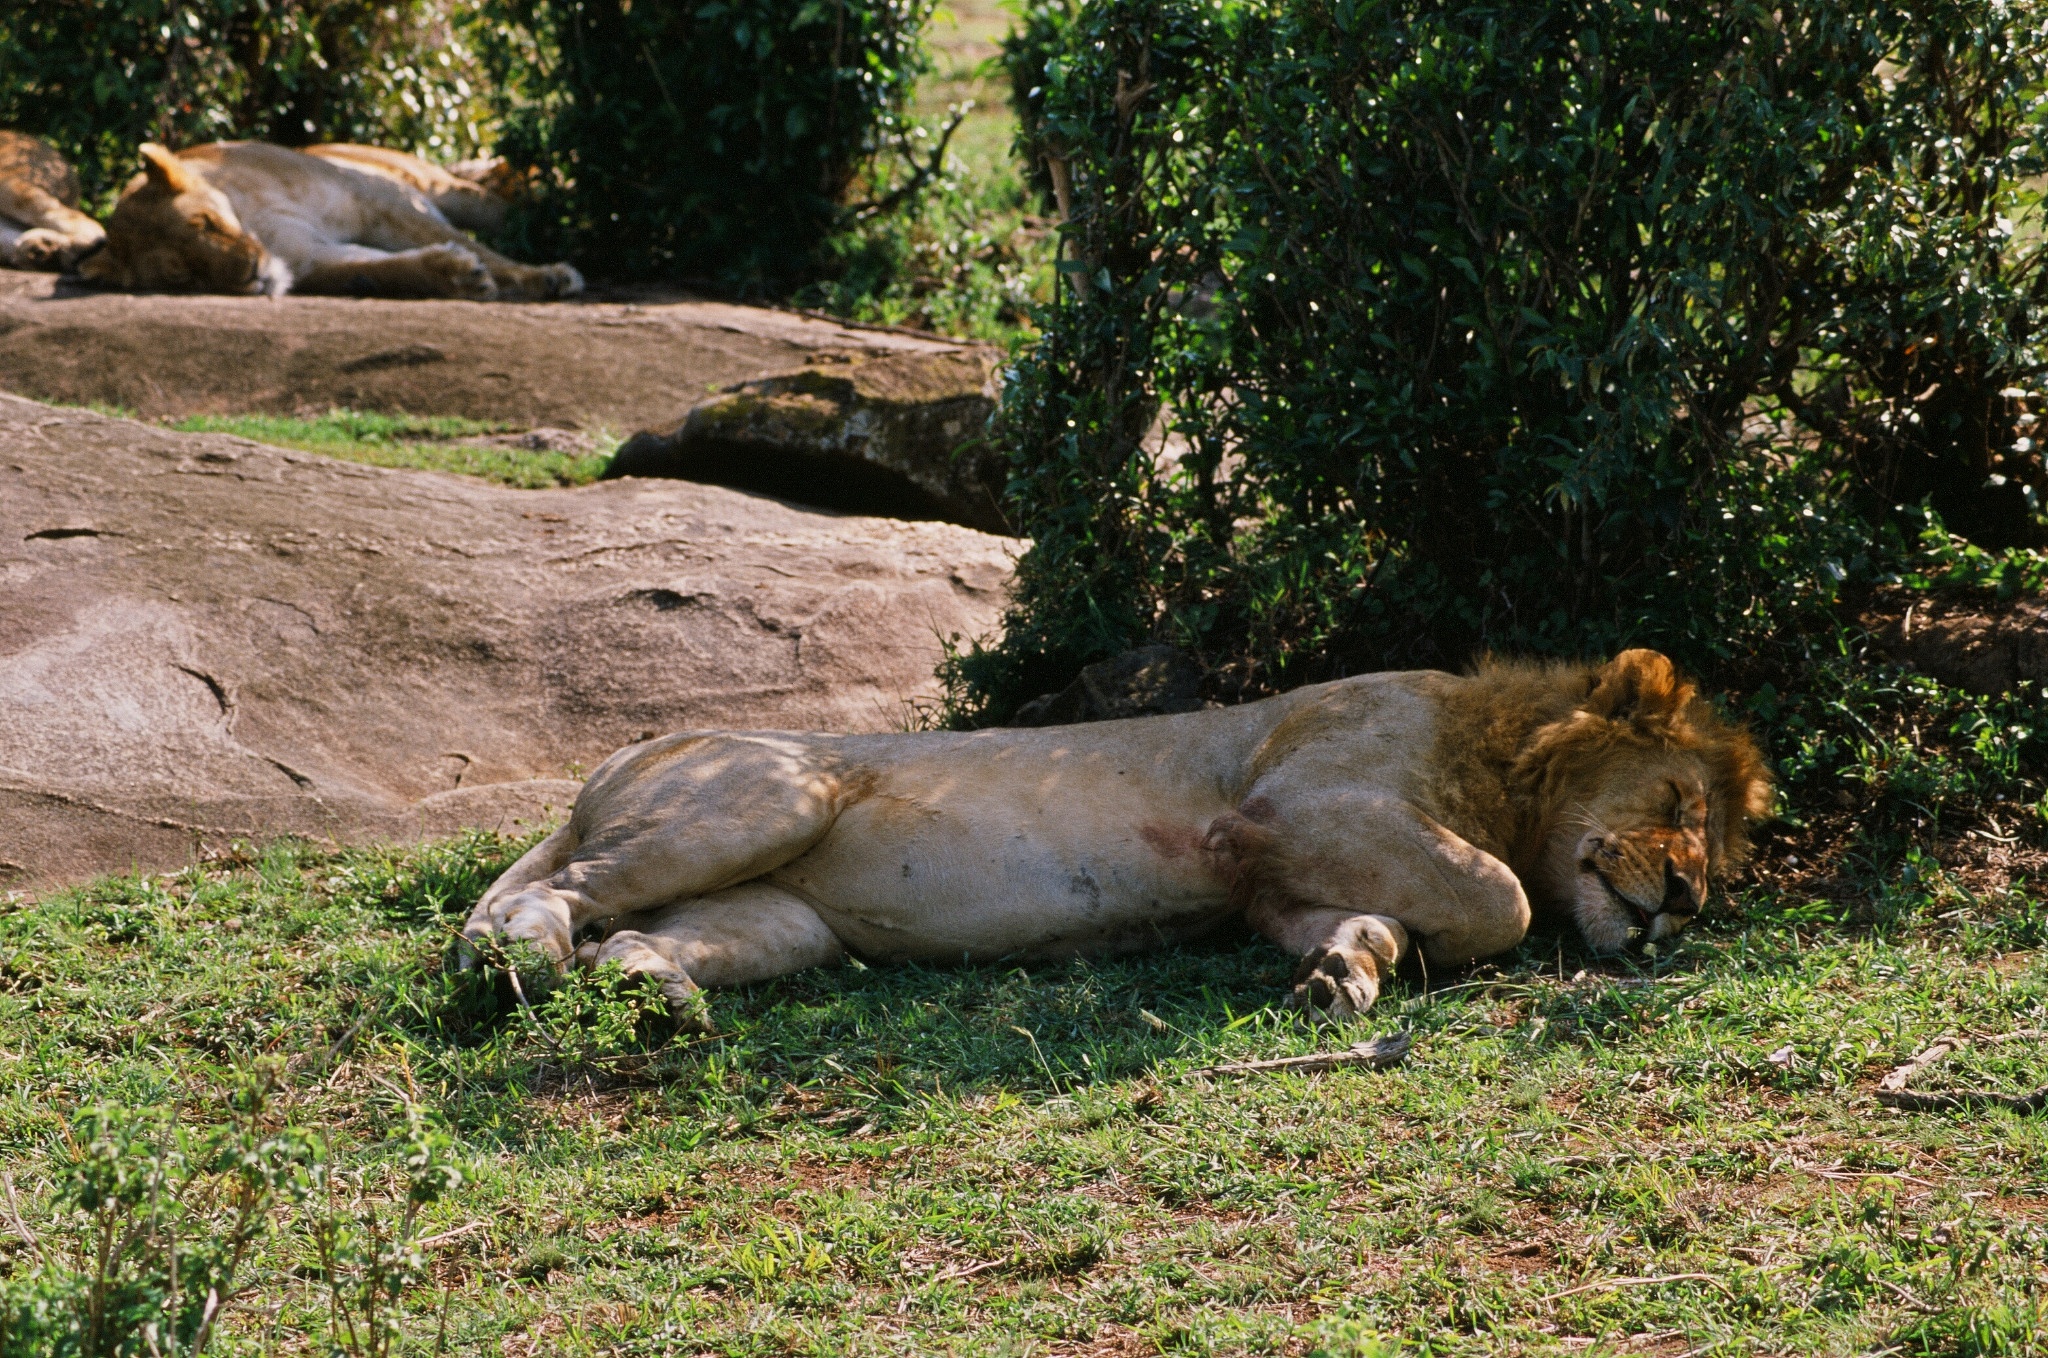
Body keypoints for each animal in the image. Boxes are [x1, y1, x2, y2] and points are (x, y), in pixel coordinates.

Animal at [79, 142, 577, 301]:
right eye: (182, 274)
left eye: (204, 223)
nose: (252, 274)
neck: (253, 219)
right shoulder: (312, 256)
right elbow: (384, 269)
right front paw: (457, 276)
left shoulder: (378, 201)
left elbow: (481, 248)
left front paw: (545, 277)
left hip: (433, 185)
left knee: (509, 208)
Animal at [460, 647, 1761, 1020]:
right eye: (1676, 805)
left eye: (1715, 844)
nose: (1686, 902)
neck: (1496, 760)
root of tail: (613, 761)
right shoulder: (1300, 799)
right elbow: (1501, 894)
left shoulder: (1300, 877)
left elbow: (1374, 919)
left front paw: (1338, 972)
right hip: (771, 791)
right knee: (555, 889)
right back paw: (514, 955)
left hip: (787, 919)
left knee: (639, 934)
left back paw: (652, 998)